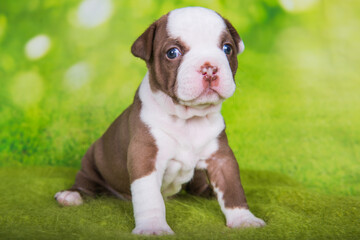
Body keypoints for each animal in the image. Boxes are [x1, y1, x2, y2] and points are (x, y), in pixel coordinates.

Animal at [54, 6, 266, 235]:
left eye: (227, 48)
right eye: (172, 53)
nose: (209, 68)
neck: (188, 118)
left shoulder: (221, 159)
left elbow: (233, 189)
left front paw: (243, 219)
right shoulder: (145, 157)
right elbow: (150, 198)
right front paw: (153, 227)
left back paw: (207, 192)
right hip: (92, 160)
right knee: (85, 182)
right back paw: (71, 195)